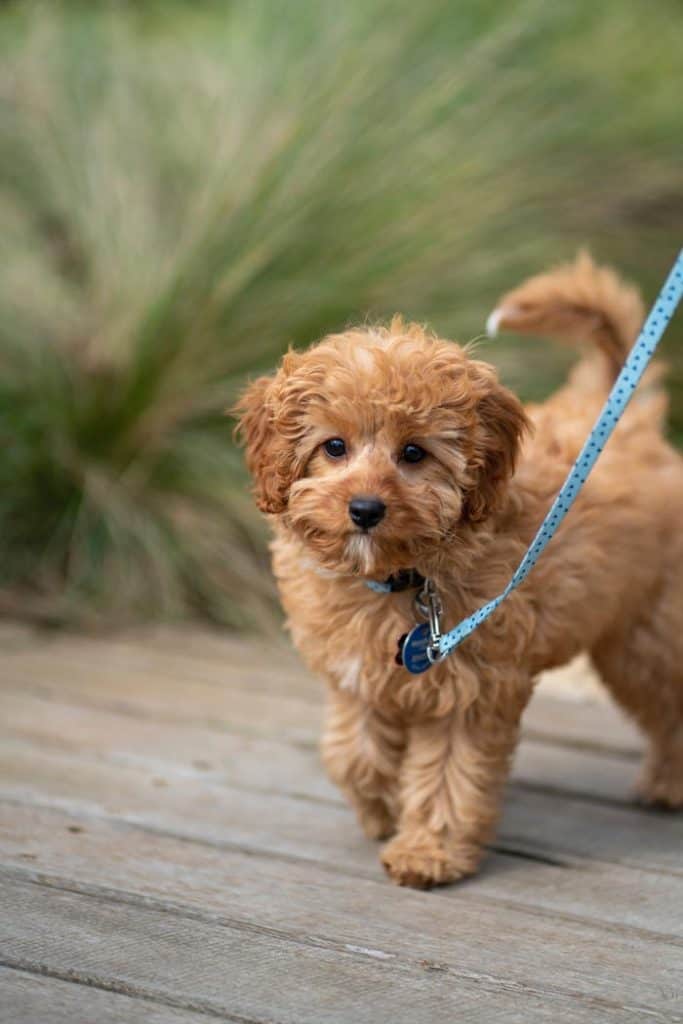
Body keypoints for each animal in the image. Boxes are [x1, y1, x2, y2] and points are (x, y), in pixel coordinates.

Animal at [236, 258, 683, 888]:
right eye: (334, 446)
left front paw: (428, 852)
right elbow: (354, 756)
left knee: (669, 702)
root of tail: (626, 417)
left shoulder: (471, 689)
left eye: (414, 453)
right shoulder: (356, 677)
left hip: (644, 635)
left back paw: (667, 783)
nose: (365, 509)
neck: (400, 577)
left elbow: (449, 776)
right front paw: (382, 808)